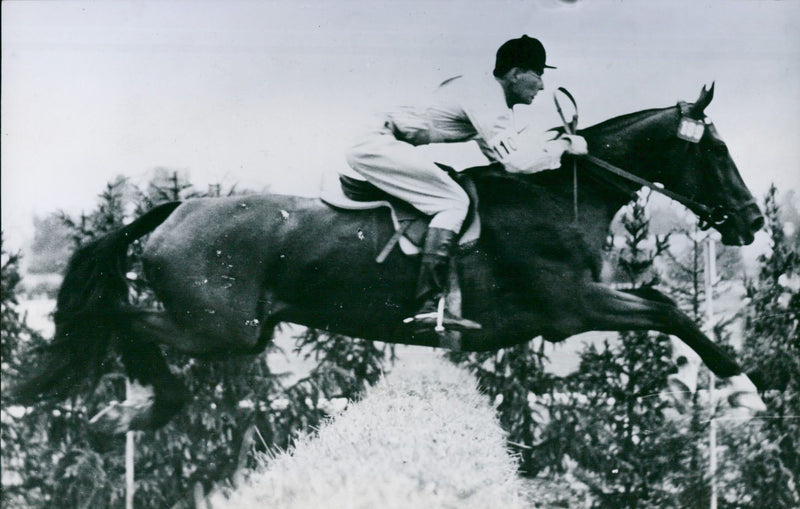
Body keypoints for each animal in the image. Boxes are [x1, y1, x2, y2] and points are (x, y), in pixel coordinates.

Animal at [10, 84, 764, 432]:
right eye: (716, 151)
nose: (754, 221)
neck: (561, 194)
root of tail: (175, 211)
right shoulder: (572, 308)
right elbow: (670, 311)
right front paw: (741, 387)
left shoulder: (587, 300)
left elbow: (665, 304)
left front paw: (736, 383)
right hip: (218, 327)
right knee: (123, 319)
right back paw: (139, 408)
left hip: (233, 329)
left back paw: (132, 409)